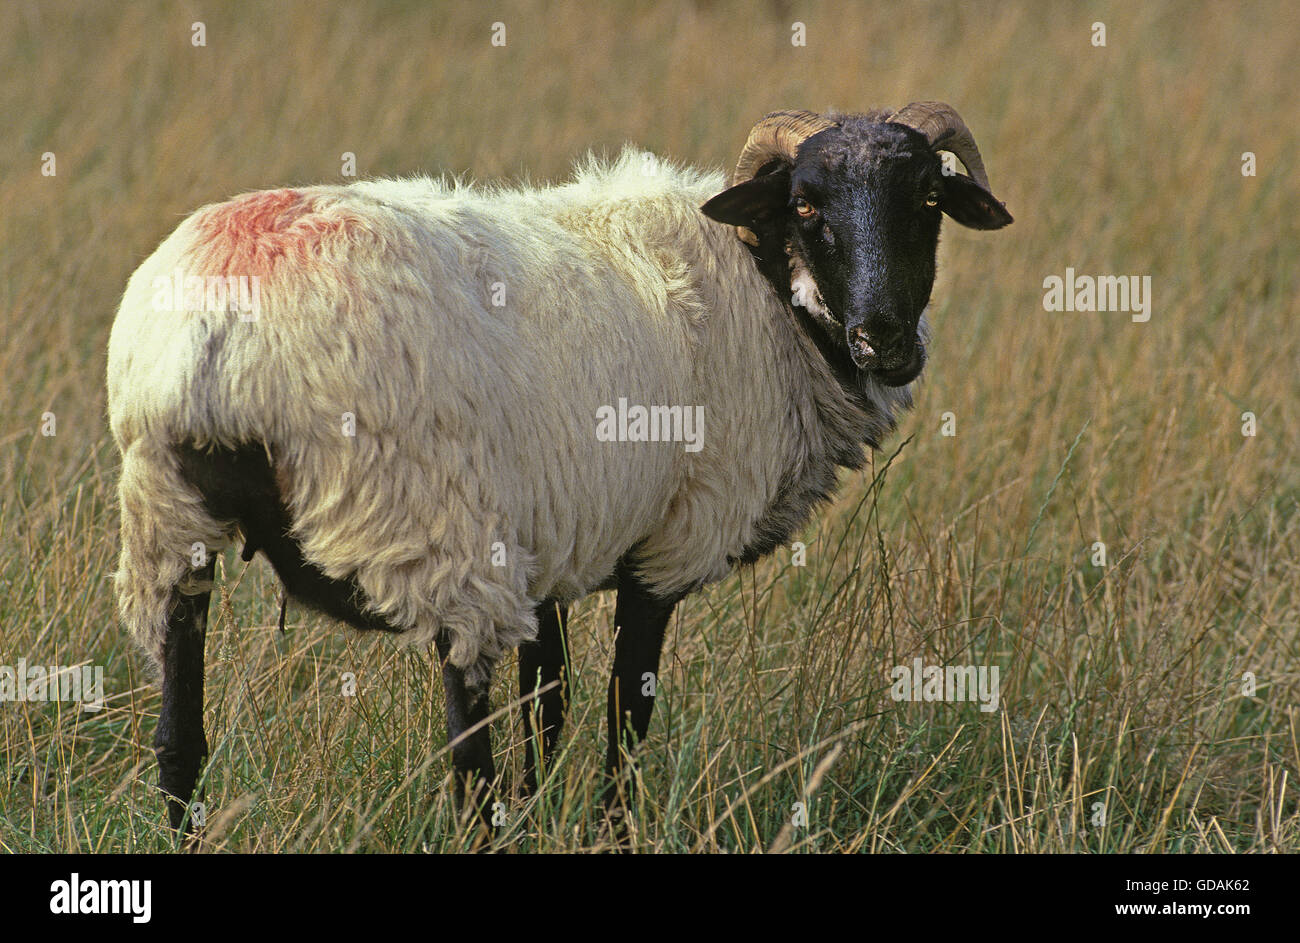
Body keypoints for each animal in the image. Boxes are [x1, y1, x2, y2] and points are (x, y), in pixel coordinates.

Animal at [106, 102, 1008, 832]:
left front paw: (544, 818)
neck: (772, 297)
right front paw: (612, 828)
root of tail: (221, 328)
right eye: (807, 203)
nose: (885, 339)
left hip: (167, 525)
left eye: (929, 200)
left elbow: (551, 708)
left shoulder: (552, 551)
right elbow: (623, 711)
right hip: (438, 538)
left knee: (178, 742)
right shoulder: (665, 545)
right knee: (469, 762)